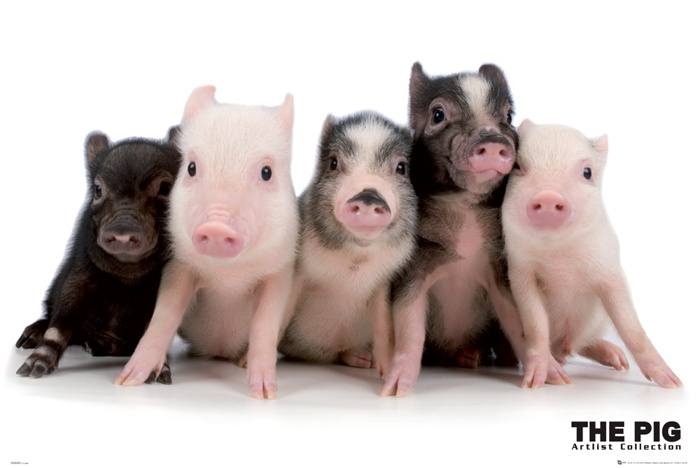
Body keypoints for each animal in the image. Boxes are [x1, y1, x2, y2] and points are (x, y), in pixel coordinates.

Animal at [15, 128, 182, 382]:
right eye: (98, 190)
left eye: (164, 188)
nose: (122, 230)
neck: (127, 275)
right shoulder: (78, 275)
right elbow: (60, 323)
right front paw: (29, 371)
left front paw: (161, 377)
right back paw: (29, 339)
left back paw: (95, 346)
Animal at [115, 86, 298, 399]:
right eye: (191, 167)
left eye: (266, 172)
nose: (216, 226)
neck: (229, 276)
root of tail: (219, 351)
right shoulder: (180, 265)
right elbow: (165, 313)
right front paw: (126, 381)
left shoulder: (280, 271)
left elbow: (265, 323)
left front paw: (265, 394)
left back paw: (242, 361)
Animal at [278, 112, 417, 373]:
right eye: (333, 162)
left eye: (401, 167)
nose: (369, 195)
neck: (355, 259)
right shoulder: (298, 272)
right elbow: (282, 313)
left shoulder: (386, 281)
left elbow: (384, 329)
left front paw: (386, 374)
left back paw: (365, 361)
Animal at [380, 63, 570, 397]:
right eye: (438, 114)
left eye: (508, 116)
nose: (493, 140)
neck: (465, 205)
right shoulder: (413, 267)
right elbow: (410, 326)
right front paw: (394, 390)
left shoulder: (499, 268)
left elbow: (517, 321)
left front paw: (556, 379)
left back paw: (483, 357)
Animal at [502, 120, 682, 388]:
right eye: (517, 166)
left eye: (587, 172)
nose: (548, 195)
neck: (559, 259)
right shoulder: (521, 272)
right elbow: (535, 324)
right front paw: (539, 383)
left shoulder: (610, 268)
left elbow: (631, 326)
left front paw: (673, 383)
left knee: (581, 344)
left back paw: (618, 361)